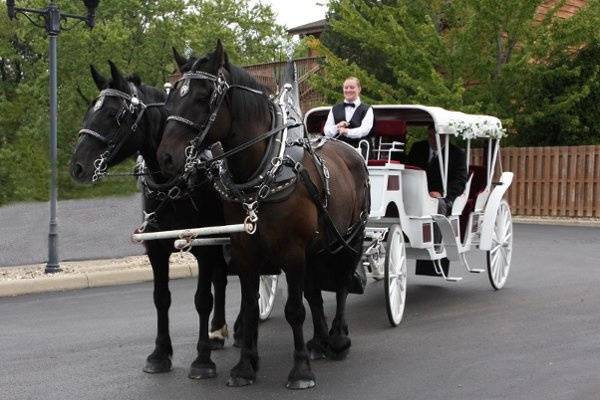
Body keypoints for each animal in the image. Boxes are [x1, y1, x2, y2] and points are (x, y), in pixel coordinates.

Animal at [68, 61, 232, 380]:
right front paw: (160, 353)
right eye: (89, 110)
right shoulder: (156, 247)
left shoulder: (205, 243)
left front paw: (202, 359)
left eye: (114, 115)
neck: (175, 180)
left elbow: (201, 299)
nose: (77, 167)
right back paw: (218, 332)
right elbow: (161, 297)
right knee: (221, 277)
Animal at [156, 42, 370, 390]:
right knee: (315, 292)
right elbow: (250, 306)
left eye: (203, 97)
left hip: (351, 237)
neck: (264, 171)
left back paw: (337, 339)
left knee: (340, 284)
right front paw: (245, 366)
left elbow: (295, 310)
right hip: (318, 247)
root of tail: (352, 151)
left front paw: (300, 371)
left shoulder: (293, 251)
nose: (166, 157)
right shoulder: (245, 251)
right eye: (172, 96)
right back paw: (320, 341)